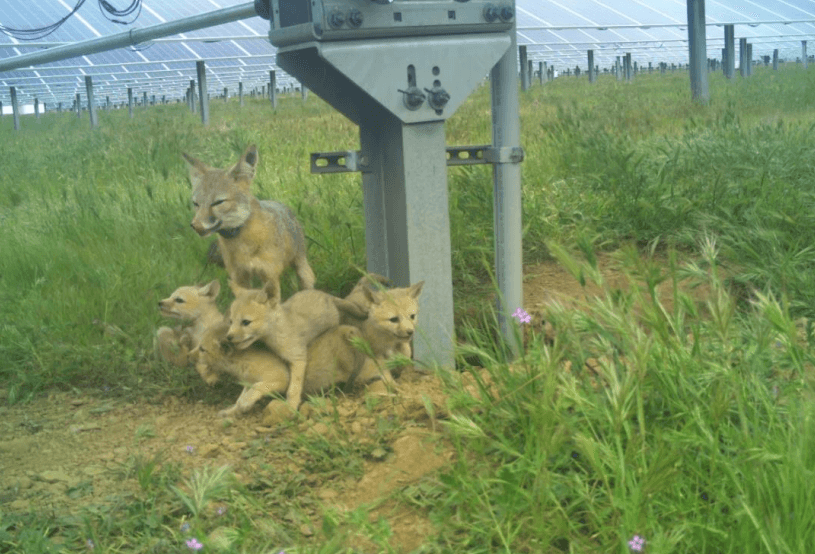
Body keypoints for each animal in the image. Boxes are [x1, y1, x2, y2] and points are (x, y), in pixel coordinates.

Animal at [182, 144, 316, 301]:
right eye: (196, 204)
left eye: (218, 202)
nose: (195, 225)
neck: (243, 246)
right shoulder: (239, 277)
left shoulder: (269, 277)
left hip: (301, 269)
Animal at [225, 281, 369, 412]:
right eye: (231, 321)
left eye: (246, 322)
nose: (228, 337)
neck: (277, 333)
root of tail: (325, 294)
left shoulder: (297, 358)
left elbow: (293, 388)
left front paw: (292, 405)